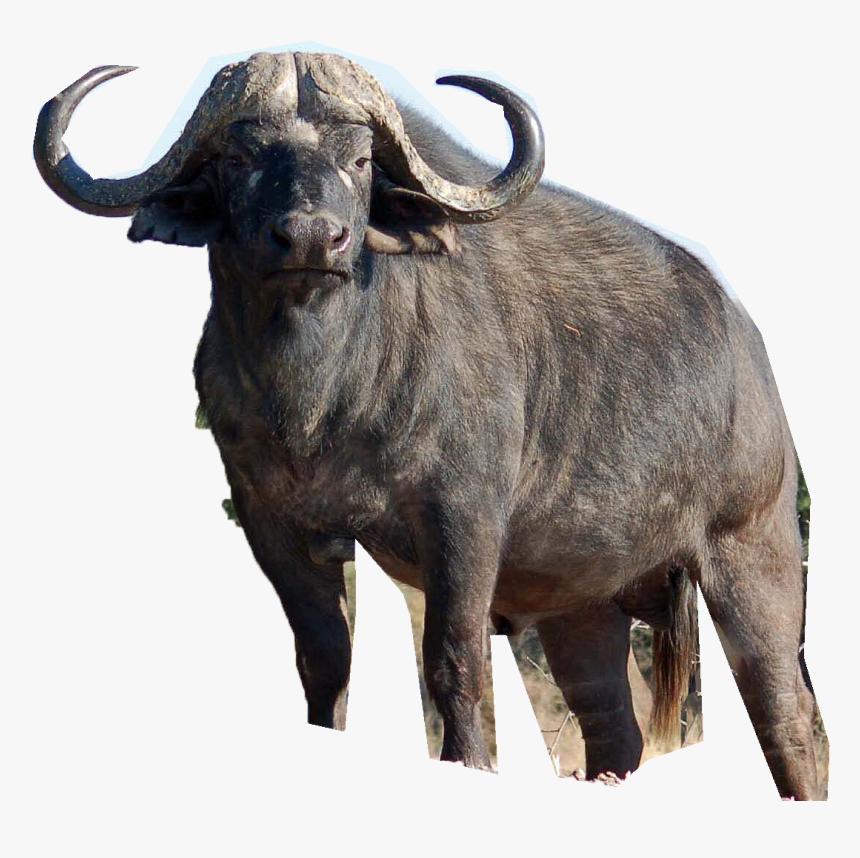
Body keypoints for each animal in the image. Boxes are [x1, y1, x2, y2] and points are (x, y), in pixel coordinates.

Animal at [34, 51, 820, 799]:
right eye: (237, 158)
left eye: (359, 159)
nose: (312, 238)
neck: (322, 399)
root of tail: (747, 346)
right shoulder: (269, 519)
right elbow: (324, 657)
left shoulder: (462, 517)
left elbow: (453, 659)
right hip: (581, 606)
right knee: (613, 727)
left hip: (755, 558)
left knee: (788, 716)